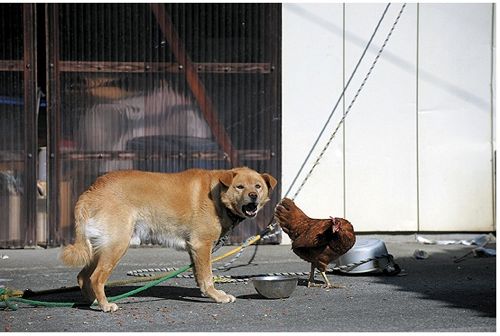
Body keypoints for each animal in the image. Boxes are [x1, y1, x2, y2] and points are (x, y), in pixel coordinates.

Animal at [60, 168, 278, 312]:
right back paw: (105, 305)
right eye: (240, 187)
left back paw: (94, 302)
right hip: (116, 245)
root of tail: (93, 189)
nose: (253, 196)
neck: (217, 196)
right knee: (96, 278)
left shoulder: (194, 249)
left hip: (100, 247)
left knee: (83, 277)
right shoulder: (202, 245)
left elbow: (200, 277)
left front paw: (206, 293)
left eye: (258, 186)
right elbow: (207, 277)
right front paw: (216, 296)